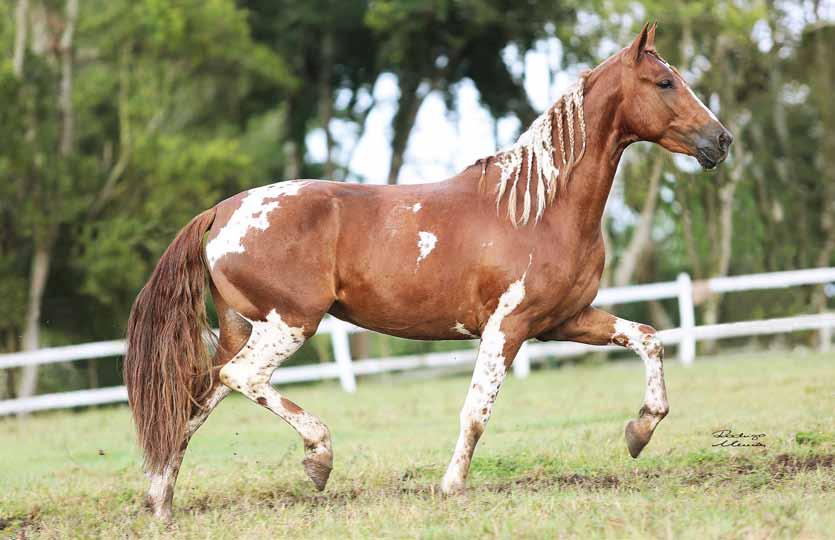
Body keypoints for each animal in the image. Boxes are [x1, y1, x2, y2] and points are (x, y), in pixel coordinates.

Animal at [124, 23, 732, 520]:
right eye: (664, 82)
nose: (721, 140)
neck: (538, 207)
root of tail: (221, 212)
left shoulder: (565, 319)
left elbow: (649, 337)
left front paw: (640, 430)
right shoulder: (507, 328)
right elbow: (477, 412)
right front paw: (452, 487)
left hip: (242, 328)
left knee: (194, 402)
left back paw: (161, 502)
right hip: (290, 323)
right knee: (240, 379)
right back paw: (318, 457)